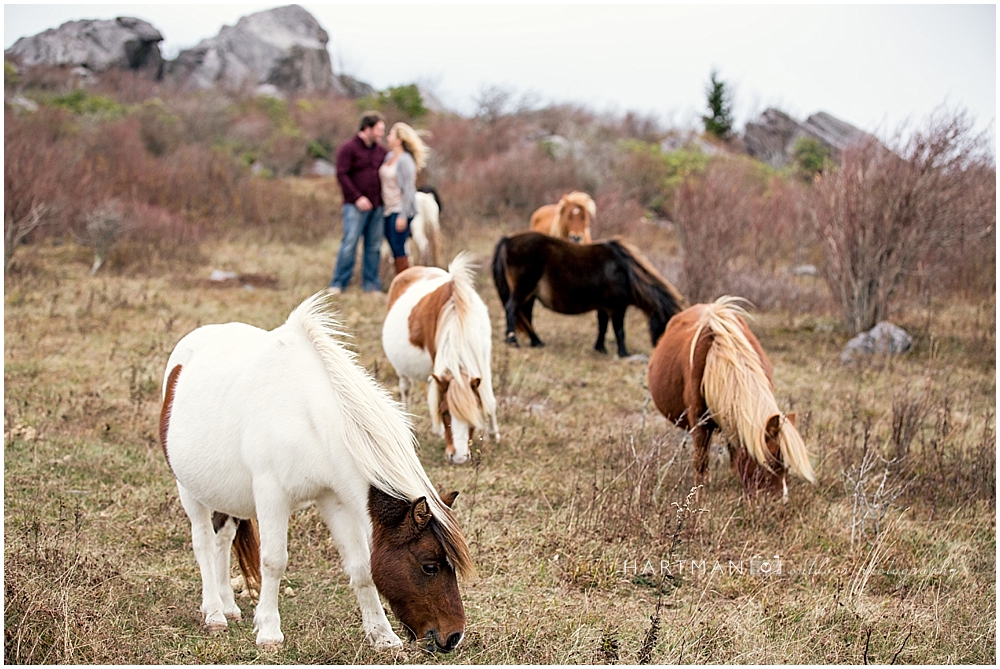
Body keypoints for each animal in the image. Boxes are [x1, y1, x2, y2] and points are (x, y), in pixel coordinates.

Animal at [382, 250, 500, 464]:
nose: (459, 457)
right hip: (402, 371)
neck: (457, 314)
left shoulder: (482, 358)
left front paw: (494, 435)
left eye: (473, 412)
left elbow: (489, 399)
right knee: (406, 389)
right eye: (445, 413)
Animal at [492, 232, 688, 360]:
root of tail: (508, 240)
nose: (662, 352)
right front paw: (623, 353)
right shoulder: (617, 308)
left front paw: (600, 349)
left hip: (530, 296)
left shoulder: (604, 307)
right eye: (667, 325)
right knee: (512, 310)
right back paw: (513, 341)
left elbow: (602, 327)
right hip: (523, 290)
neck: (624, 272)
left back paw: (536, 341)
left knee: (525, 315)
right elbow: (619, 330)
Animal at [644, 294, 816, 498]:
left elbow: (734, 453)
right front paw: (700, 494)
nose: (779, 500)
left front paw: (733, 481)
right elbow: (700, 460)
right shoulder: (699, 422)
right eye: (771, 462)